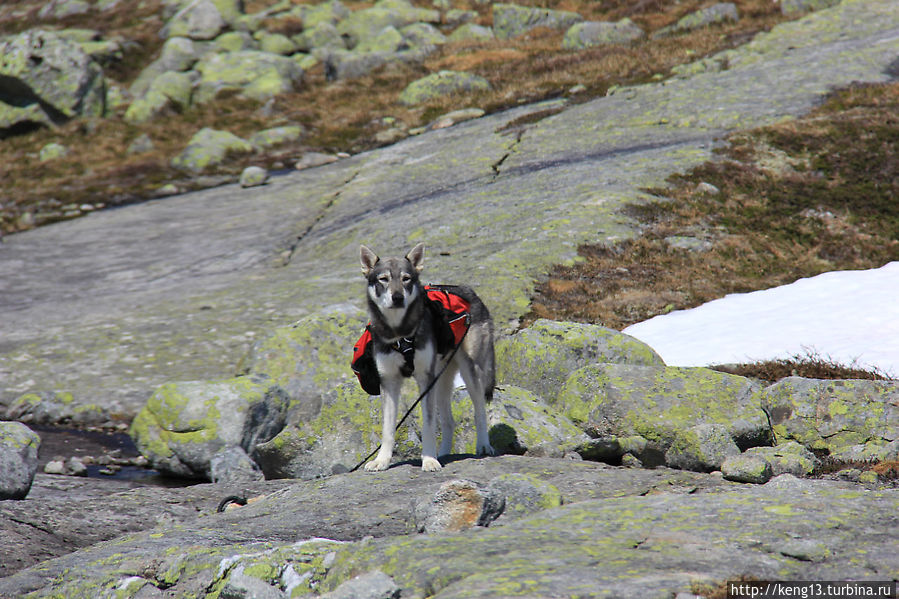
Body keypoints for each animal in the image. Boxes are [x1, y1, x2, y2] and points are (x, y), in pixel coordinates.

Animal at [360, 244, 500, 474]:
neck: (400, 333)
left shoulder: (425, 379)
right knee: (449, 421)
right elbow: (388, 428)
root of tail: (470, 292)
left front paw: (428, 460)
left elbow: (428, 424)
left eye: (406, 278)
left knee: (479, 411)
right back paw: (443, 453)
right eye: (383, 279)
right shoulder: (389, 382)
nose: (397, 297)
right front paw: (382, 461)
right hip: (441, 380)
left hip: (469, 373)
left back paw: (483, 446)